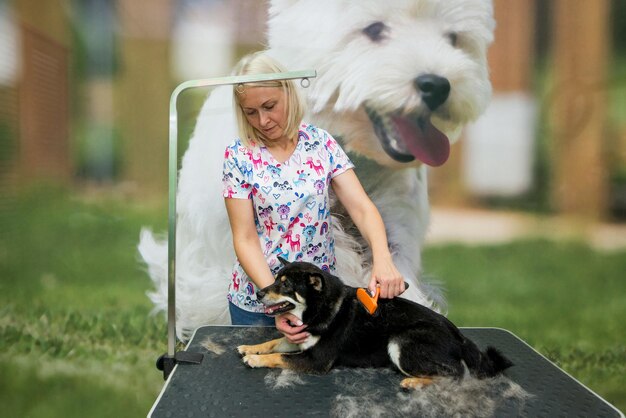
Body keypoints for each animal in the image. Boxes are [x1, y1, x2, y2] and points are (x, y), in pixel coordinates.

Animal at [236, 258, 510, 388]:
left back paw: (414, 382)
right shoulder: (302, 340)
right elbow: (274, 343)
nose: (259, 293)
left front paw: (254, 359)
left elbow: (278, 357)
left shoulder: (316, 360)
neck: (320, 309)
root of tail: (459, 336)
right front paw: (251, 348)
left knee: (455, 374)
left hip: (400, 343)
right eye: (275, 279)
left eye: (285, 285)